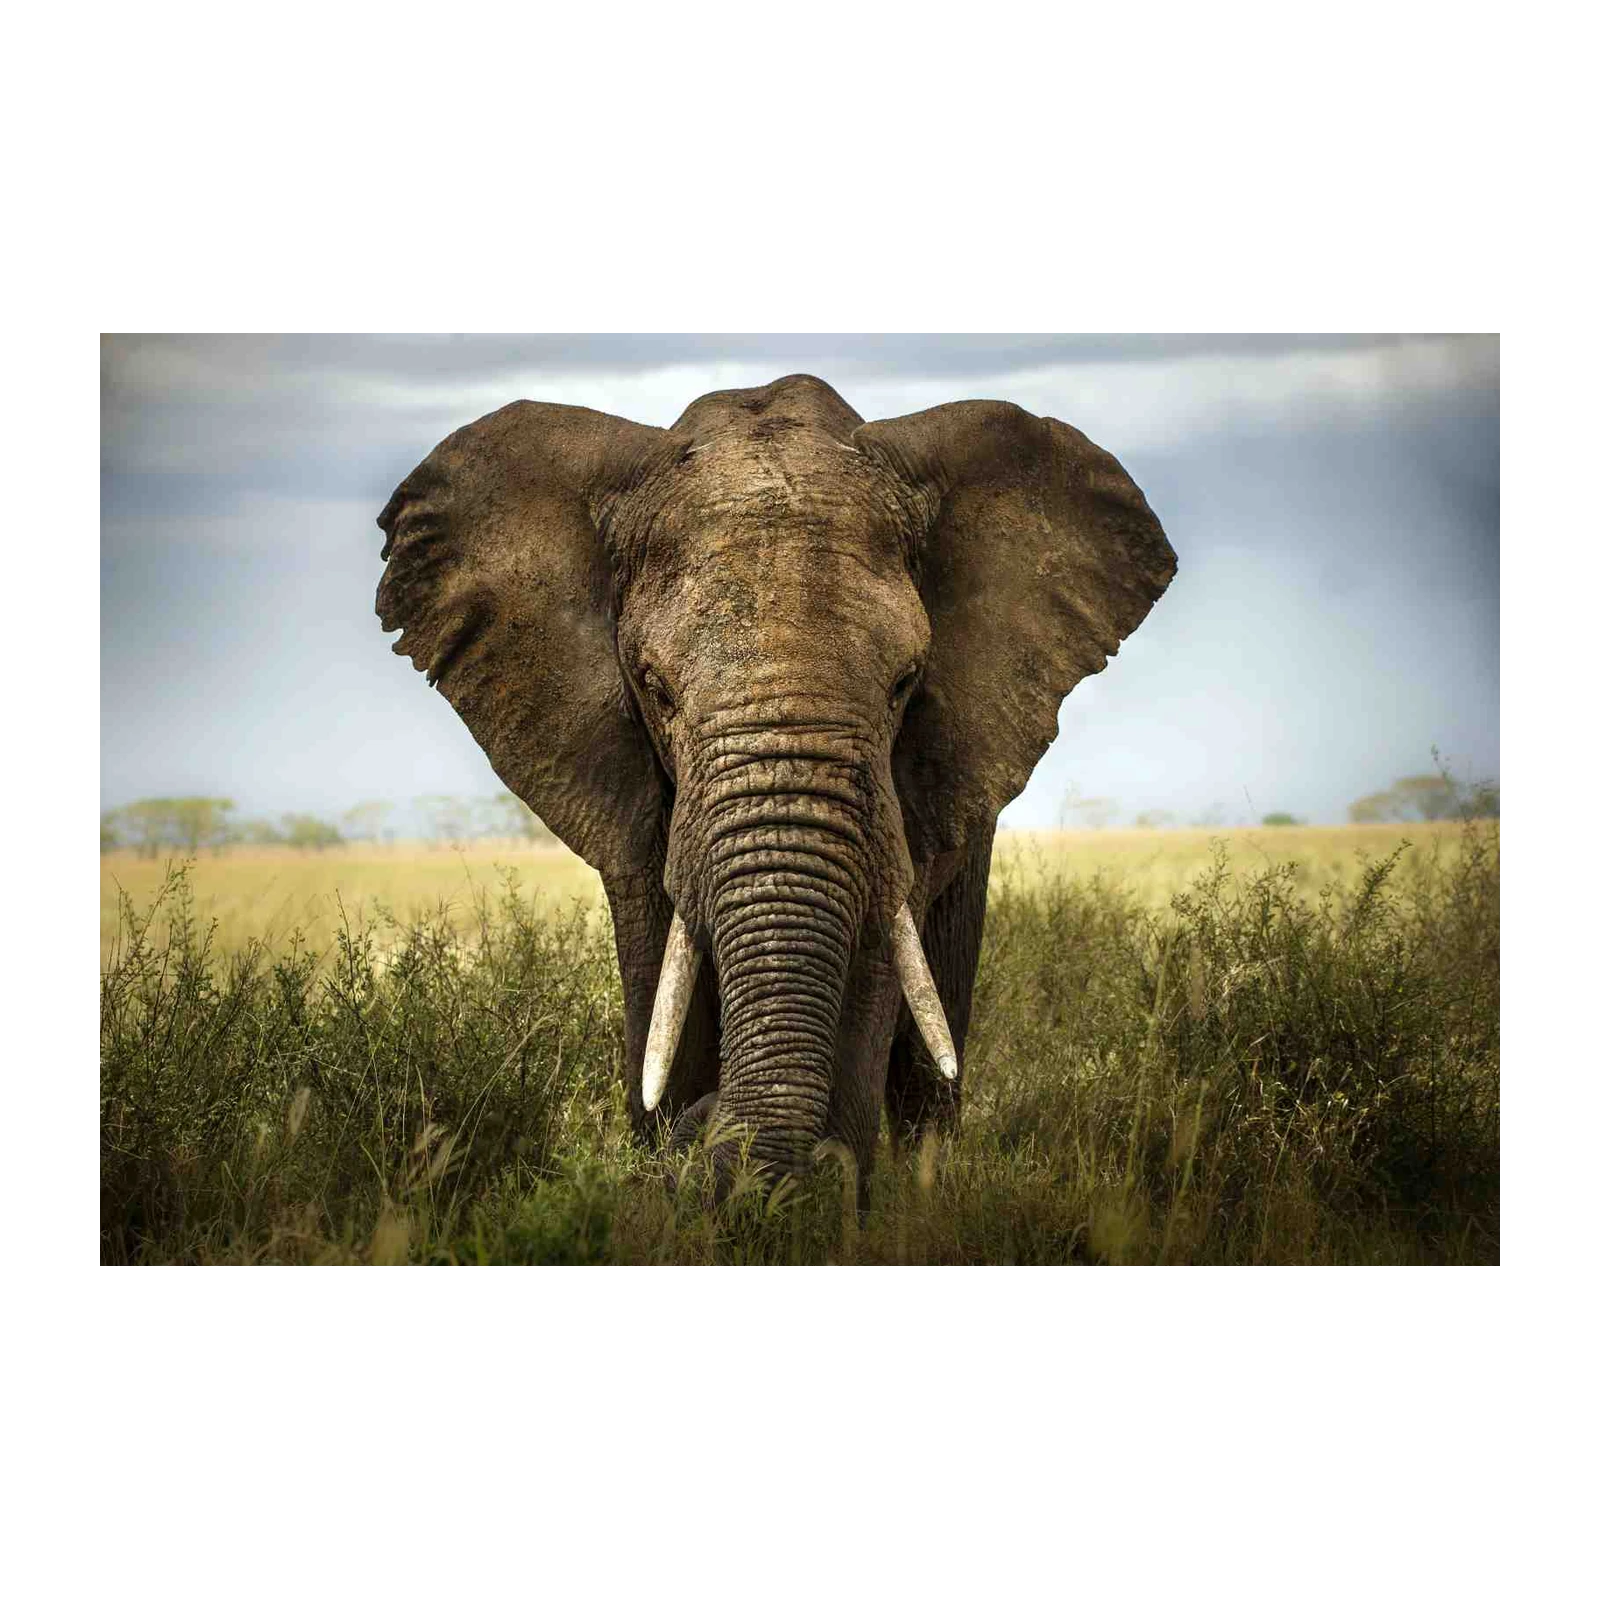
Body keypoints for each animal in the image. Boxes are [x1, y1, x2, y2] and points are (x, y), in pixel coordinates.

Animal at [376, 373, 1175, 1198]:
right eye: (656, 690)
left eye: (905, 684)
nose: (707, 1127)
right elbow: (661, 971)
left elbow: (874, 960)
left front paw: (817, 1194)